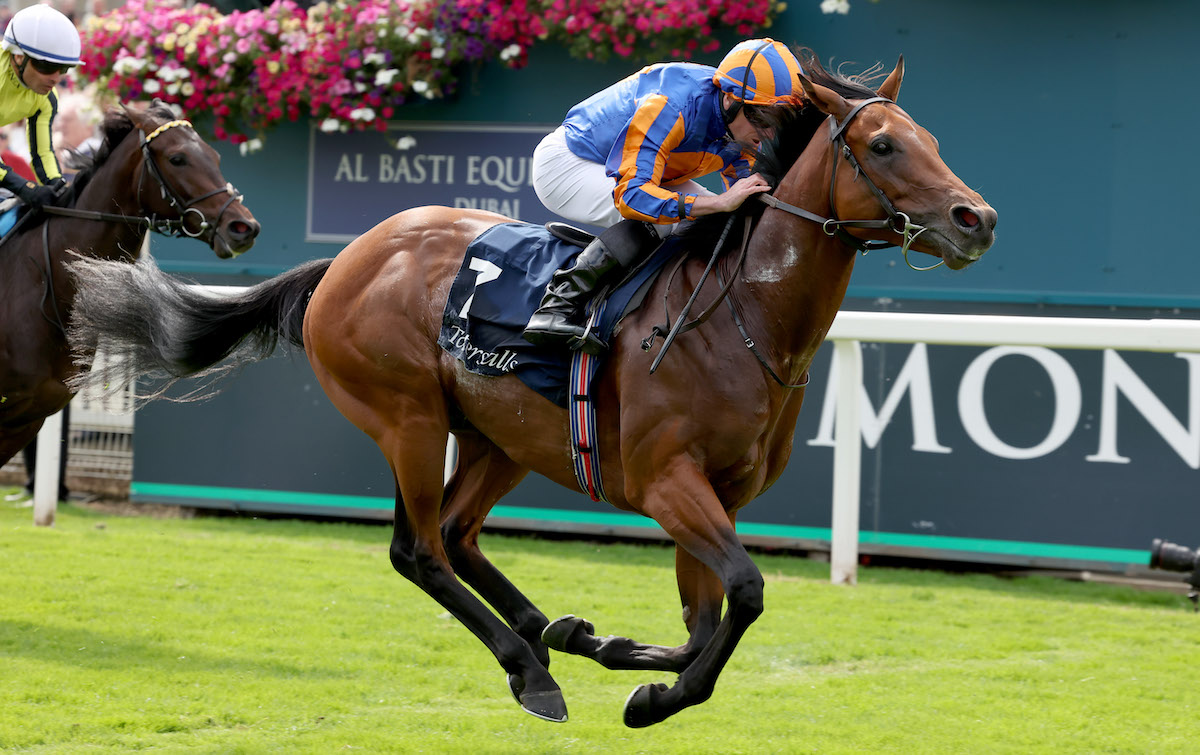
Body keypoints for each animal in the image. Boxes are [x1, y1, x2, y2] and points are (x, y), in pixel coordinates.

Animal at [63, 55, 993, 724]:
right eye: (884, 146)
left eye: (931, 138)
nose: (975, 219)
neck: (744, 317)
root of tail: (346, 260)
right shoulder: (667, 482)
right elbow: (746, 593)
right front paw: (657, 698)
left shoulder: (718, 493)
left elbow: (704, 620)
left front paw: (634, 663)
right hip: (407, 416)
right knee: (420, 549)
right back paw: (530, 669)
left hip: (499, 434)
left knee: (458, 534)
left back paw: (558, 635)